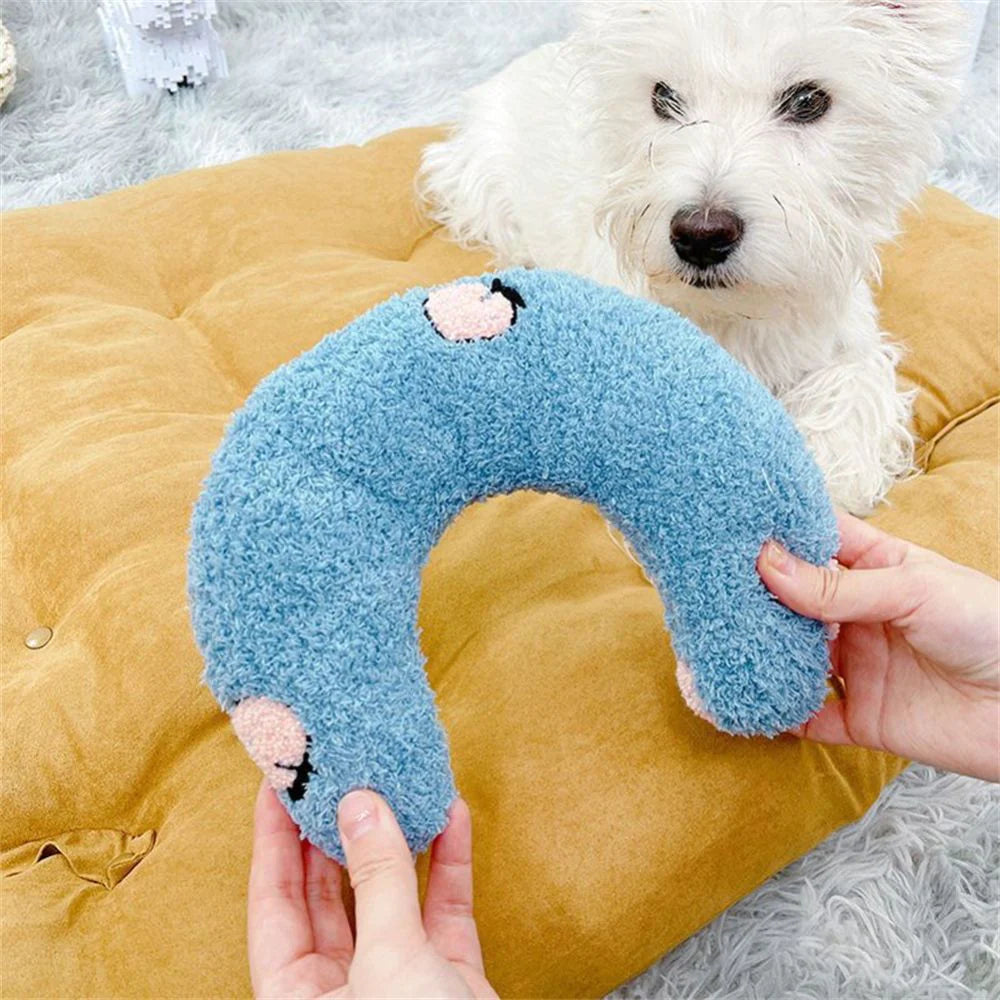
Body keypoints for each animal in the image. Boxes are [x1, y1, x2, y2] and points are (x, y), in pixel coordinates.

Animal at [422, 1, 968, 516]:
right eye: (663, 96)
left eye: (809, 100)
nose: (702, 235)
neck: (736, 313)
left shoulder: (840, 333)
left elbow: (858, 384)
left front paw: (836, 477)